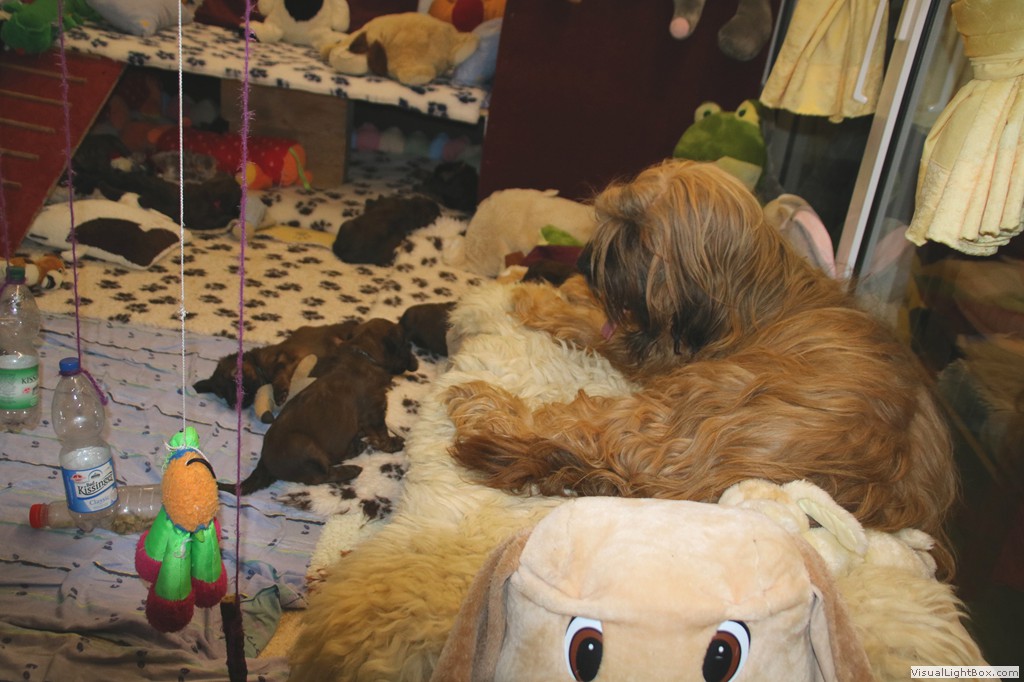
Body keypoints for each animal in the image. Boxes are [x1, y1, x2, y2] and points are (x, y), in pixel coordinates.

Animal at [193, 321, 359, 409]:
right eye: (221, 395)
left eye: (236, 376)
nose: (234, 405)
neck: (259, 365)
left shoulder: (284, 357)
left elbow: (278, 375)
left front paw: (280, 394)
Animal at [219, 318, 419, 495]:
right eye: (406, 345)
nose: (416, 363)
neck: (363, 354)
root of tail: (264, 464)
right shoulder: (375, 411)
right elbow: (382, 434)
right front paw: (394, 444)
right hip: (304, 445)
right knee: (321, 475)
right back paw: (351, 469)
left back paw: (355, 447)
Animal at [443, 159, 958, 576]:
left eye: (638, 234)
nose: (587, 265)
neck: (755, 286)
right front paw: (569, 288)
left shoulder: (666, 354)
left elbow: (600, 331)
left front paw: (539, 297)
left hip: (700, 398)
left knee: (581, 426)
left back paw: (483, 404)